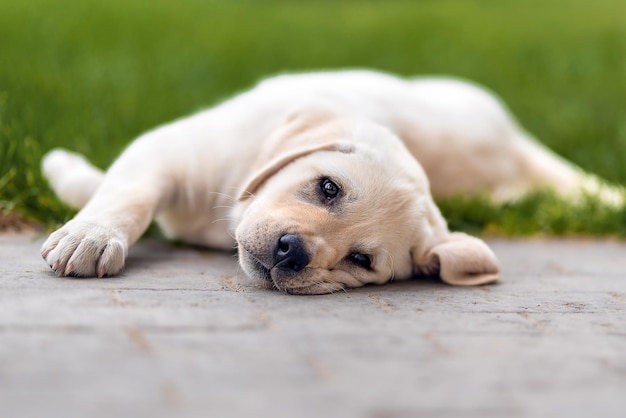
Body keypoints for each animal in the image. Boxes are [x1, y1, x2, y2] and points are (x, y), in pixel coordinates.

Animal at [40, 70, 620, 296]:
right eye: (327, 188)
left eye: (360, 260)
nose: (291, 252)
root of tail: (514, 139)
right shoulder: (171, 148)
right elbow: (129, 190)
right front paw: (90, 232)